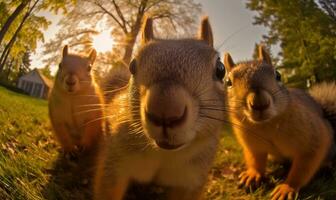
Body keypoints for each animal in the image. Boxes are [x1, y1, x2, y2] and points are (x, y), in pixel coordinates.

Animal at [93, 16, 227, 200]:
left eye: (221, 69)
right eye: (132, 65)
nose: (165, 111)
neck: (165, 154)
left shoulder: (192, 178)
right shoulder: (115, 162)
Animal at [223, 45, 336, 200]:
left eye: (278, 75)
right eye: (228, 82)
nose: (260, 103)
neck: (266, 126)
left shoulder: (313, 136)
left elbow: (305, 164)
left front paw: (287, 188)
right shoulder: (252, 144)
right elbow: (255, 159)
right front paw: (252, 175)